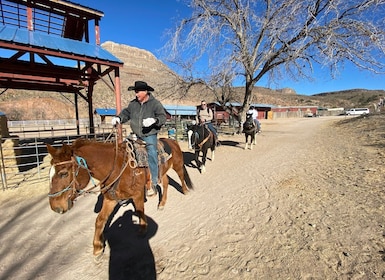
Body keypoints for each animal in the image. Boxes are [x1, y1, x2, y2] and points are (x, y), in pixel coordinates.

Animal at [47, 137, 194, 260]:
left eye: (63, 173)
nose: (55, 207)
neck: (117, 168)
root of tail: (172, 140)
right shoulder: (110, 199)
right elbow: (100, 220)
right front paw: (97, 248)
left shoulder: (137, 195)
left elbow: (140, 211)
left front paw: (143, 229)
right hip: (161, 172)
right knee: (166, 182)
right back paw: (162, 203)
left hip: (177, 165)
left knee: (181, 176)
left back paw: (185, 191)